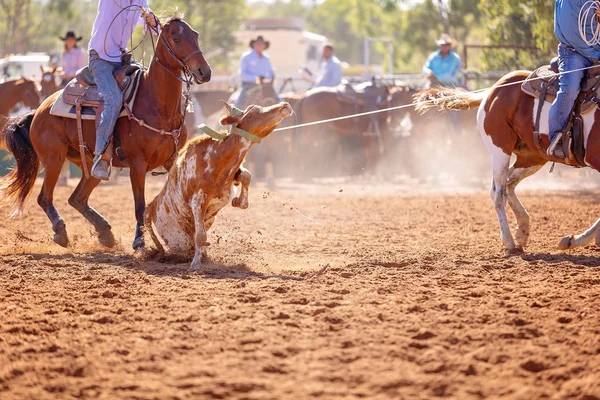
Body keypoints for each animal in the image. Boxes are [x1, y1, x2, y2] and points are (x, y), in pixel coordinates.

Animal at [0, 17, 212, 252]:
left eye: (195, 35)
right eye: (176, 38)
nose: (205, 72)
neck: (155, 102)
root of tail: (39, 109)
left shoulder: (172, 160)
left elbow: (178, 198)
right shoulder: (137, 164)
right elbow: (140, 205)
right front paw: (139, 242)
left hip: (92, 166)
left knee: (77, 199)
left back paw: (105, 232)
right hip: (53, 158)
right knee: (44, 198)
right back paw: (61, 231)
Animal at [144, 101, 292, 270]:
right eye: (254, 109)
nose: (284, 105)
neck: (215, 158)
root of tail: (151, 208)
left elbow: (246, 176)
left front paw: (239, 201)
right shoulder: (198, 200)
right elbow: (200, 236)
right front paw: (195, 264)